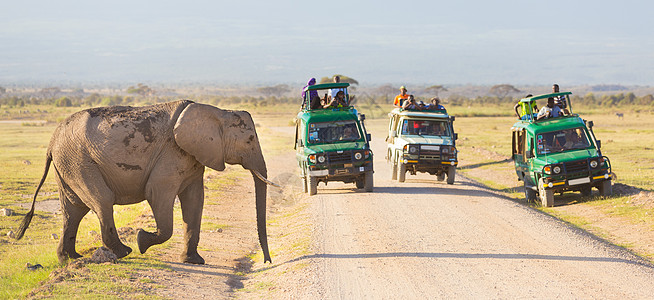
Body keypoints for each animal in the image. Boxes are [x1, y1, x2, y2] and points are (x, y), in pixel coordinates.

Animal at [16, 101, 274, 264]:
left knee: (74, 210)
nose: (267, 262)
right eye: (250, 139)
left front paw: (194, 261)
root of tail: (52, 142)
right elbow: (156, 193)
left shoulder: (193, 157)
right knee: (101, 201)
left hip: (68, 164)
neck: (217, 111)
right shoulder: (172, 154)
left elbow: (195, 201)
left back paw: (70, 259)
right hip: (79, 161)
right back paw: (124, 252)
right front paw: (142, 240)